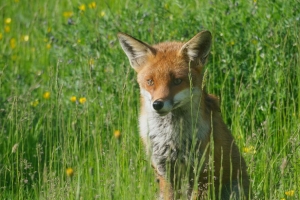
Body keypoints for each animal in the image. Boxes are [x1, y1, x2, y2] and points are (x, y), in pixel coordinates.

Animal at [118, 30, 250, 199]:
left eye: (177, 81)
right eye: (150, 81)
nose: (157, 104)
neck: (171, 138)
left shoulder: (202, 174)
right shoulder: (164, 172)